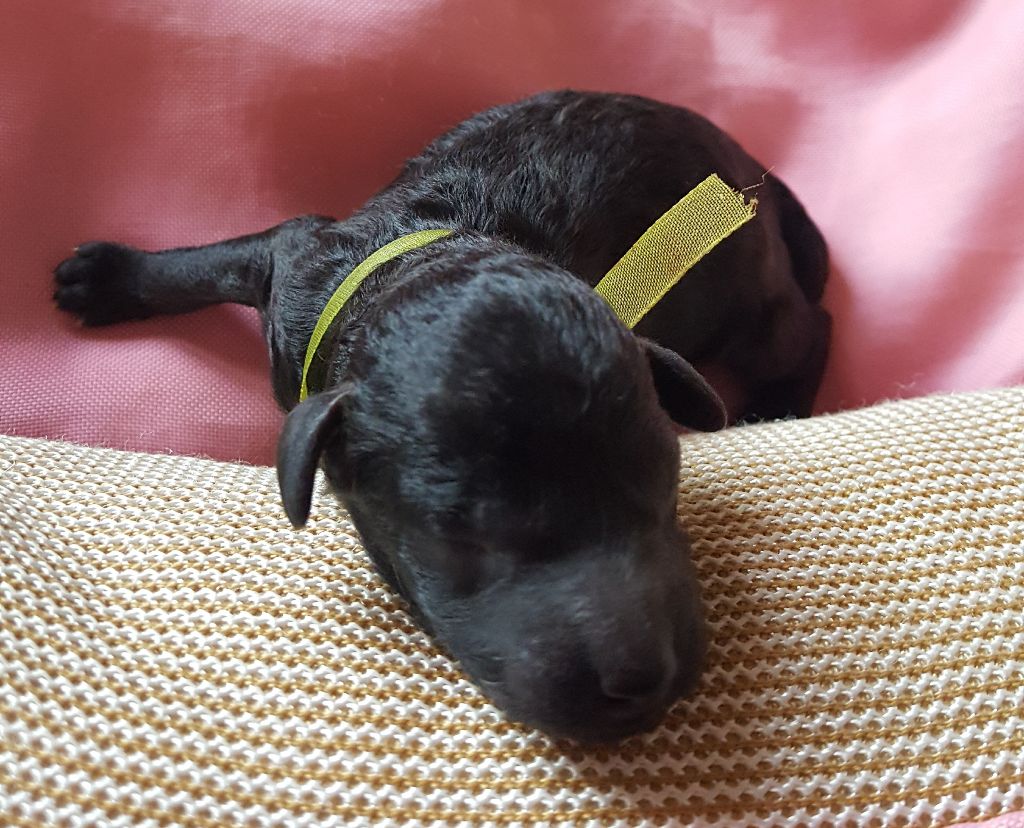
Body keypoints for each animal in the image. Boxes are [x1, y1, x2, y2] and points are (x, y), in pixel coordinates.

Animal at [54, 90, 830, 743]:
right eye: (460, 540)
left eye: (666, 481)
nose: (645, 680)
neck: (424, 254)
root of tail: (751, 168)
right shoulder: (296, 259)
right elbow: (213, 262)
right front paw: (114, 278)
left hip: (747, 297)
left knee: (806, 327)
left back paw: (777, 405)